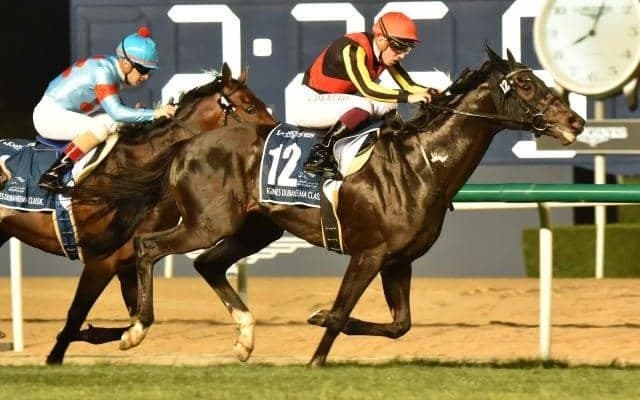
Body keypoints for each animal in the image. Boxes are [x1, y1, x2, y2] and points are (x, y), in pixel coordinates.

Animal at [0, 63, 275, 364]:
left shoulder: (126, 263)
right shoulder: (101, 261)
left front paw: (103, 334)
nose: (272, 135)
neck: (135, 170)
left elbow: (134, 317)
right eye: (249, 107)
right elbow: (76, 314)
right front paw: (55, 357)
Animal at [79, 47, 584, 366]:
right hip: (207, 221)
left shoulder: (398, 260)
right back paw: (135, 329)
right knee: (148, 246)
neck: (421, 165)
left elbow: (400, 325)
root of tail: (185, 145)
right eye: (525, 83)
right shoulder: (369, 253)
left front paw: (316, 317)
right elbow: (343, 314)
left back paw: (244, 337)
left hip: (255, 228)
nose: (576, 121)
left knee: (208, 264)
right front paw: (316, 359)